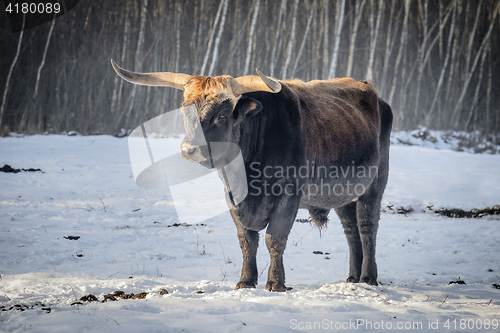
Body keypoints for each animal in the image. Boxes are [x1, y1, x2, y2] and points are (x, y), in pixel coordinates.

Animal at [111, 59, 392, 290]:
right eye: (185, 110)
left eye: (221, 115)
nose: (189, 149)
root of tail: (373, 93)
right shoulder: (232, 198)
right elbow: (247, 241)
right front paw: (246, 281)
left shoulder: (288, 195)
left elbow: (273, 239)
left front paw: (276, 283)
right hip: (344, 194)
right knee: (351, 231)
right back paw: (353, 277)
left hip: (374, 185)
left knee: (367, 227)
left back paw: (368, 277)